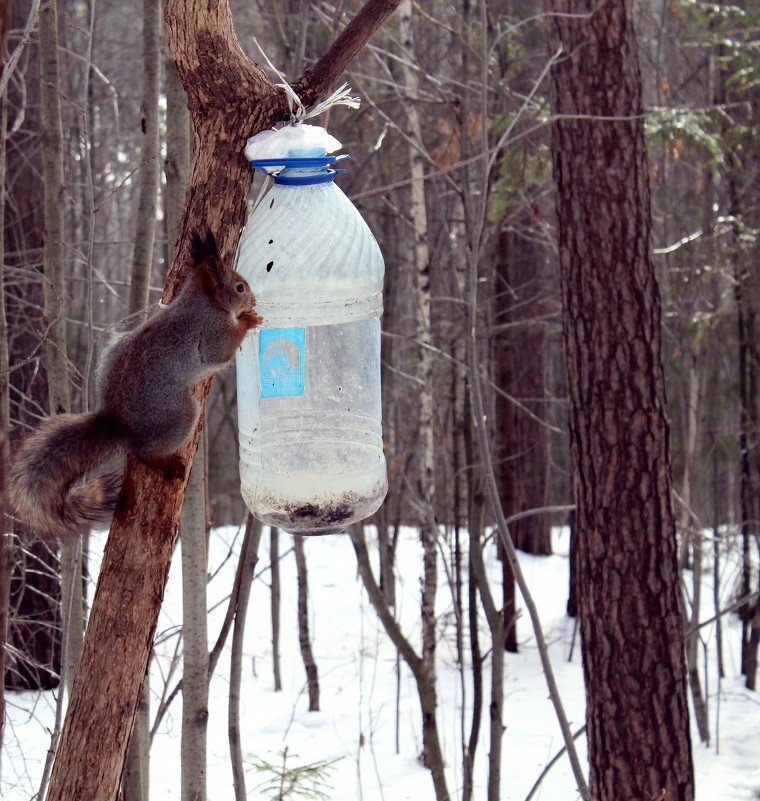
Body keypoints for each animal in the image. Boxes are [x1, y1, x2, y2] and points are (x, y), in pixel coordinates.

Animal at [7, 228, 264, 540]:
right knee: (143, 452)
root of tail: (119, 423)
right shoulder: (211, 333)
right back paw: (170, 464)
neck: (203, 301)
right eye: (239, 287)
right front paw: (249, 320)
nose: (253, 301)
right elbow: (223, 350)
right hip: (180, 413)